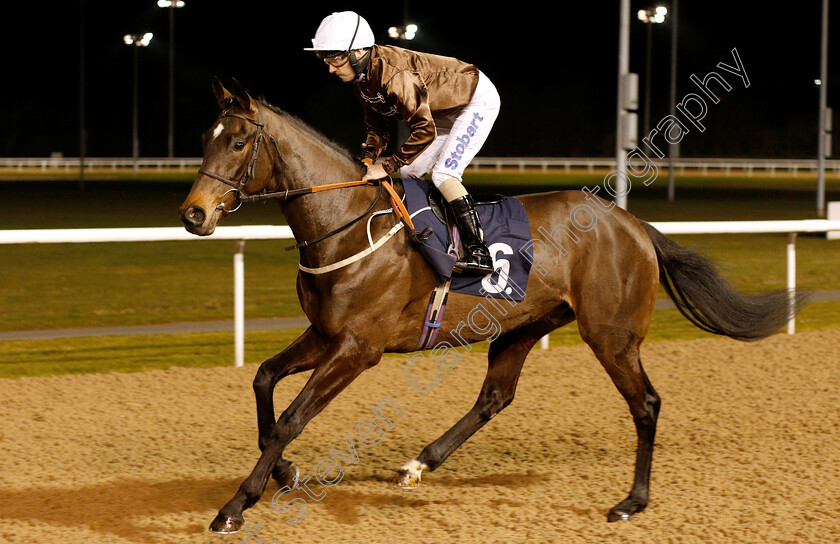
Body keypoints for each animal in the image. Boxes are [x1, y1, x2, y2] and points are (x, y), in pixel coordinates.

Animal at [180, 78, 804, 532]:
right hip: (522, 325)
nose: (193, 214)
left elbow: (290, 419)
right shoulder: (325, 334)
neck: (348, 226)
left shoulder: (358, 348)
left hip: (610, 334)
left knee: (645, 403)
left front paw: (236, 505)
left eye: (238, 142)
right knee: (495, 397)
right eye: (205, 137)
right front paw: (282, 472)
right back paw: (418, 463)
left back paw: (632, 501)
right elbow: (263, 379)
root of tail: (633, 225)